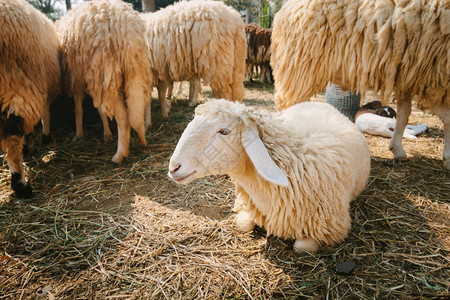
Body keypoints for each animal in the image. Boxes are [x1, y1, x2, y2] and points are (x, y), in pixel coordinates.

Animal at [0, 0, 60, 198]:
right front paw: (46, 136)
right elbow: (46, 112)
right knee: (12, 135)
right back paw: (21, 184)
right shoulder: (41, 82)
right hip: (16, 80)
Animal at [57, 0, 153, 163]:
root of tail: (123, 25)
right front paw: (107, 134)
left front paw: (79, 134)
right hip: (134, 69)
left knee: (124, 118)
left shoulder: (78, 81)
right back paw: (142, 140)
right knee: (135, 112)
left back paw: (120, 154)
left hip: (107, 73)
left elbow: (78, 109)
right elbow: (101, 110)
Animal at [167, 99, 370, 252]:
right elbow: (244, 224)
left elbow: (302, 247)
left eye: (224, 131)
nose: (174, 167)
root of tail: (319, 102)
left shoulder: (329, 226)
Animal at [270, 0, 450, 169]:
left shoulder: (408, 75)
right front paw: (447, 157)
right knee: (288, 106)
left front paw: (397, 149)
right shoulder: (434, 77)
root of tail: (282, 11)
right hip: (299, 66)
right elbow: (447, 118)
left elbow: (404, 114)